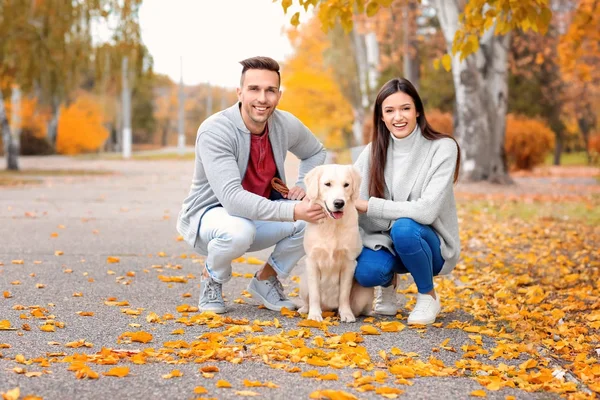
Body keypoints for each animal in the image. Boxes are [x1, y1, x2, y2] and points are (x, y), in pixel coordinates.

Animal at [300, 163, 376, 322]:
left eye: (346, 185)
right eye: (327, 184)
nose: (339, 203)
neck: (332, 224)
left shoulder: (349, 263)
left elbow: (344, 294)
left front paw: (346, 314)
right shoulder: (312, 261)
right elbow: (314, 294)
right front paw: (314, 315)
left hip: (364, 293)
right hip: (303, 283)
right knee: (307, 299)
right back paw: (304, 309)